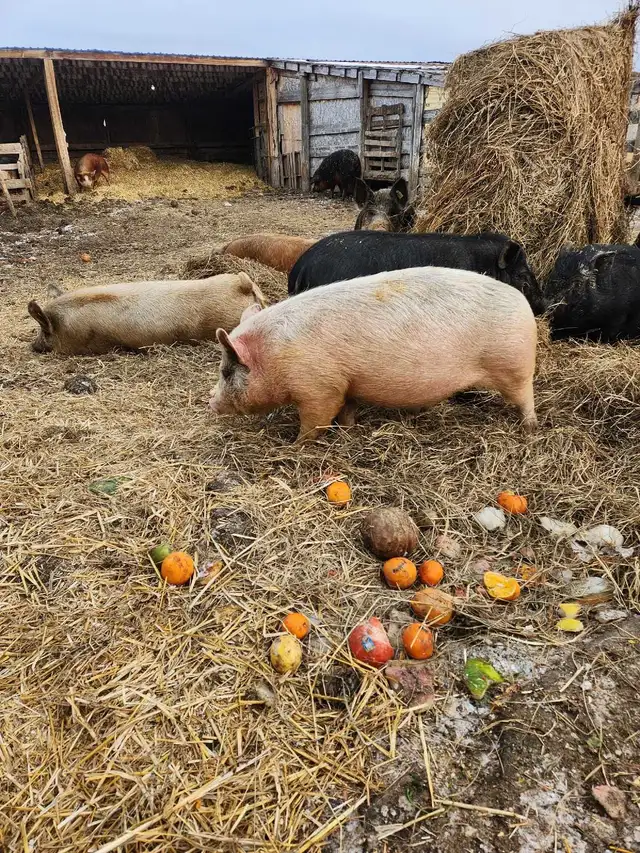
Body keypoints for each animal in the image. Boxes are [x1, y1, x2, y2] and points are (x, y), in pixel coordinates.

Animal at [209, 266, 538, 442]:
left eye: (226, 371)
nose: (209, 402)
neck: (276, 354)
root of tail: (523, 303)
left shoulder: (319, 387)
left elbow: (316, 420)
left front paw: (295, 445)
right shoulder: (347, 384)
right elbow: (346, 410)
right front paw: (348, 429)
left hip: (514, 365)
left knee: (526, 397)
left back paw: (529, 427)